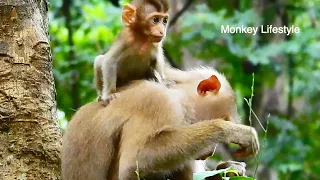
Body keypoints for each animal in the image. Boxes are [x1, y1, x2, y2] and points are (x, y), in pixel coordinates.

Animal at [62, 66, 260, 180]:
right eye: (224, 118)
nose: (210, 153)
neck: (175, 91)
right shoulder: (157, 101)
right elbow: (133, 164)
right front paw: (228, 130)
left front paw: (229, 170)